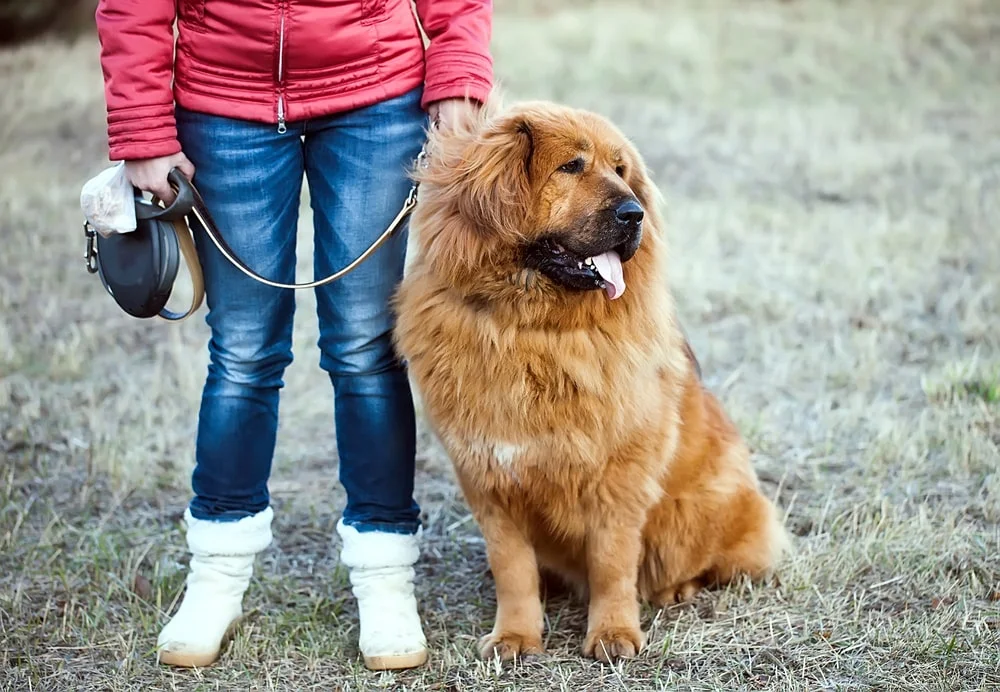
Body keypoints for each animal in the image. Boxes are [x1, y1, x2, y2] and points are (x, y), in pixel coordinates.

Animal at [390, 94, 788, 664]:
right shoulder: (489, 479)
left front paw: (614, 634)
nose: (634, 213)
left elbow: (613, 564)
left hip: (700, 507)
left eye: (620, 171)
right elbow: (512, 569)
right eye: (571, 166)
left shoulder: (617, 478)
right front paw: (515, 637)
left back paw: (678, 588)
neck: (531, 330)